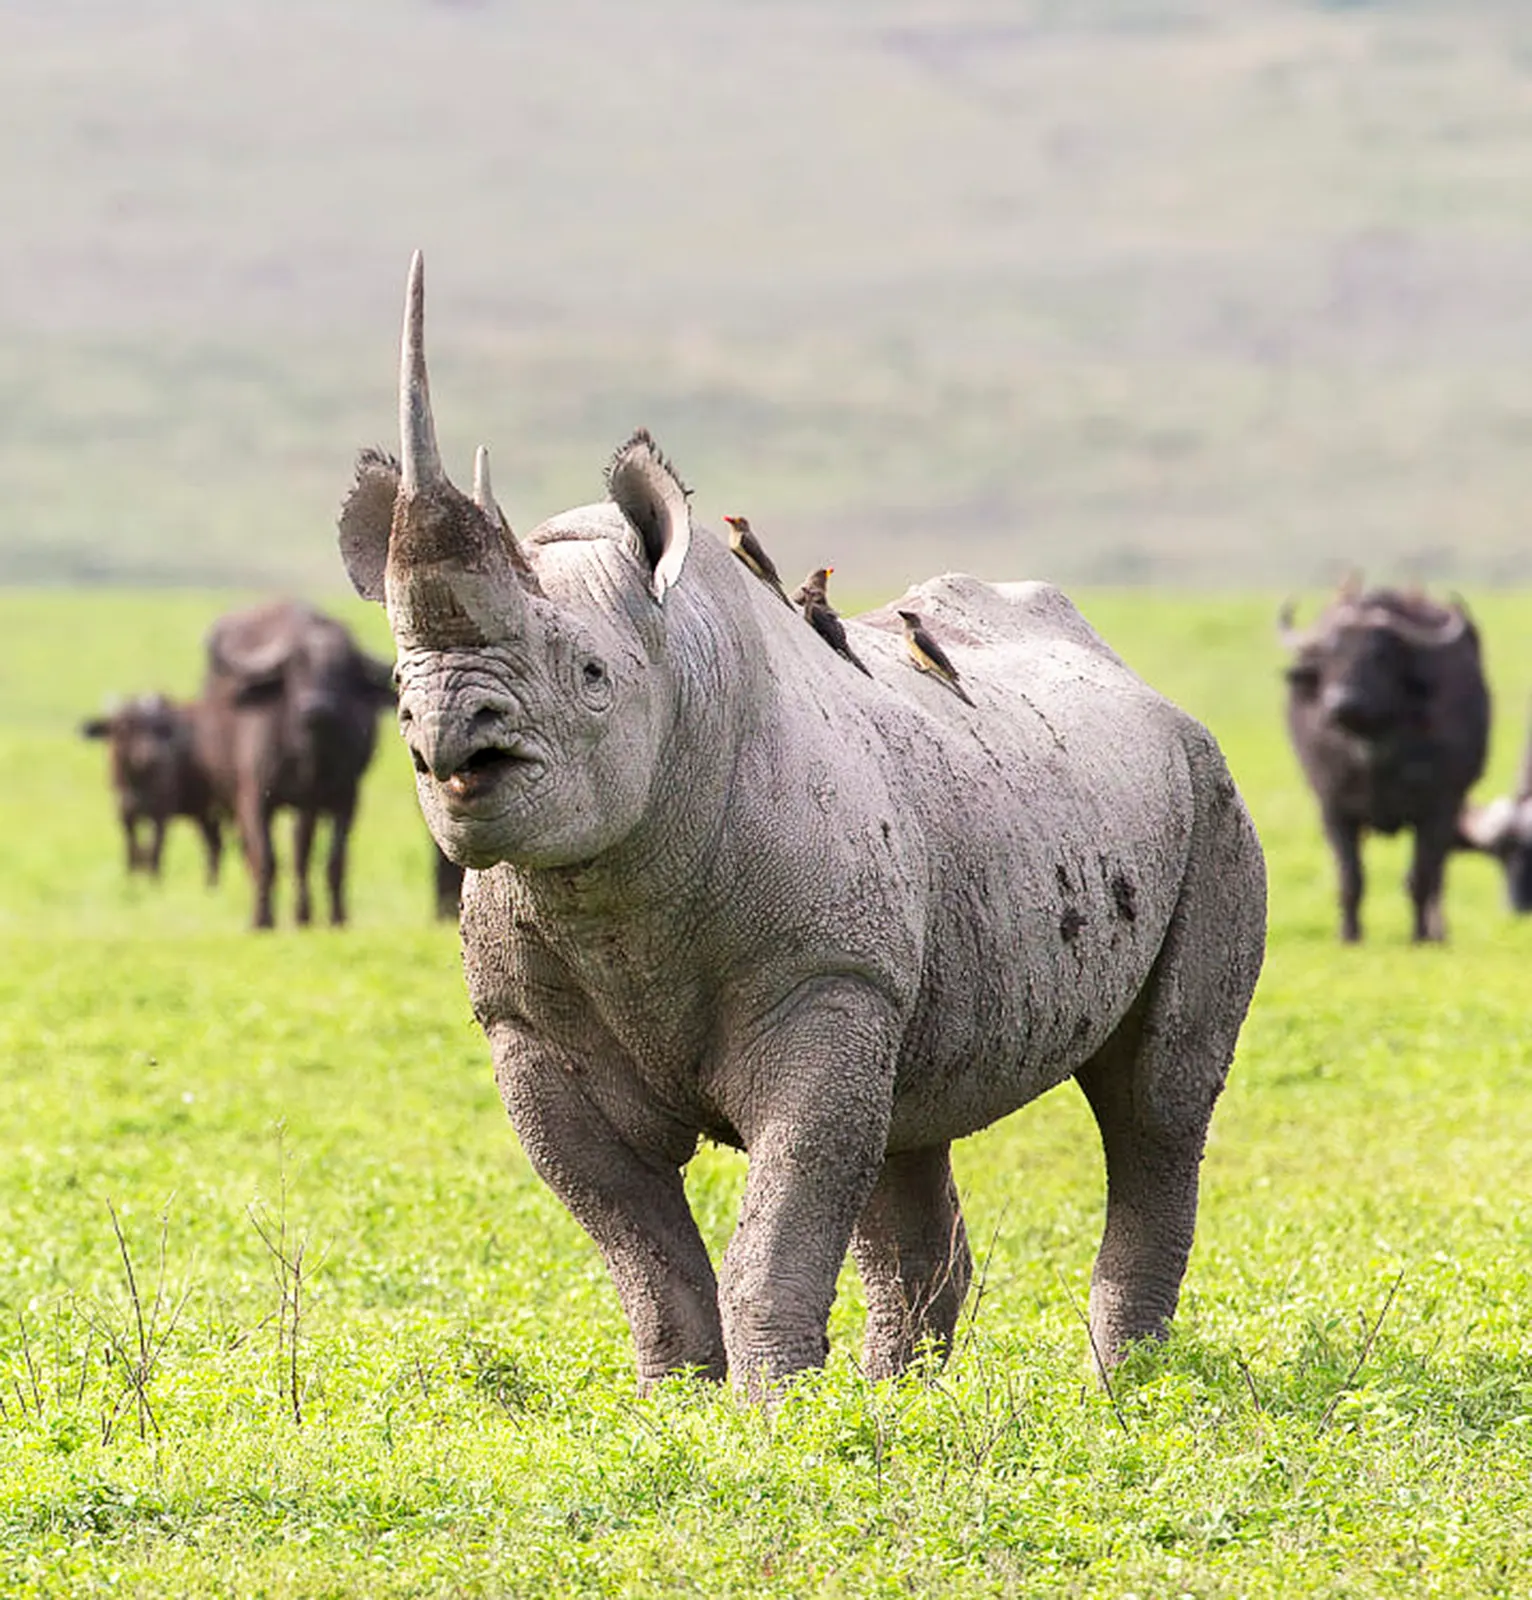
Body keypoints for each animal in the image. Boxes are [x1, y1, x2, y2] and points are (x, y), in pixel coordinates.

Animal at [81, 694, 223, 884]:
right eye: (122, 727)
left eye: (155, 728)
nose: (152, 755)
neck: (137, 783)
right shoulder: (125, 814)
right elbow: (132, 851)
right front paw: (131, 880)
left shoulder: (160, 816)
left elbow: (155, 851)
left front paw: (154, 882)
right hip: (203, 812)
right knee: (214, 843)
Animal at [198, 600, 395, 928]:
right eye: (295, 669)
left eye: (343, 671)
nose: (317, 709)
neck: (308, 755)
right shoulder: (254, 797)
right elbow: (266, 857)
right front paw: (262, 919)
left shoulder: (344, 798)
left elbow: (332, 859)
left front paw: (335, 917)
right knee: (254, 850)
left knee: (301, 853)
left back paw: (304, 913)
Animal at [335, 254, 1267, 1395]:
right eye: (395, 691)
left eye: (591, 675)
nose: (451, 744)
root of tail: (1137, 679)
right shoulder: (527, 1028)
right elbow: (636, 1241)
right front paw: (677, 1398)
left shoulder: (825, 977)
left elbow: (781, 1214)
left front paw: (771, 1407)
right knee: (908, 1121)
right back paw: (900, 1392)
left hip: (1209, 793)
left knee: (1155, 1103)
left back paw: (1122, 1381)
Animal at [1280, 584, 1488, 942]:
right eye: (1330, 653)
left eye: (1380, 655)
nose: (1343, 702)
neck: (1372, 756)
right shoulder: (1333, 807)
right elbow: (1350, 878)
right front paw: (1349, 936)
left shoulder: (1439, 806)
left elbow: (1421, 877)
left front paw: (1419, 937)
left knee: (1438, 877)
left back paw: (1438, 933)